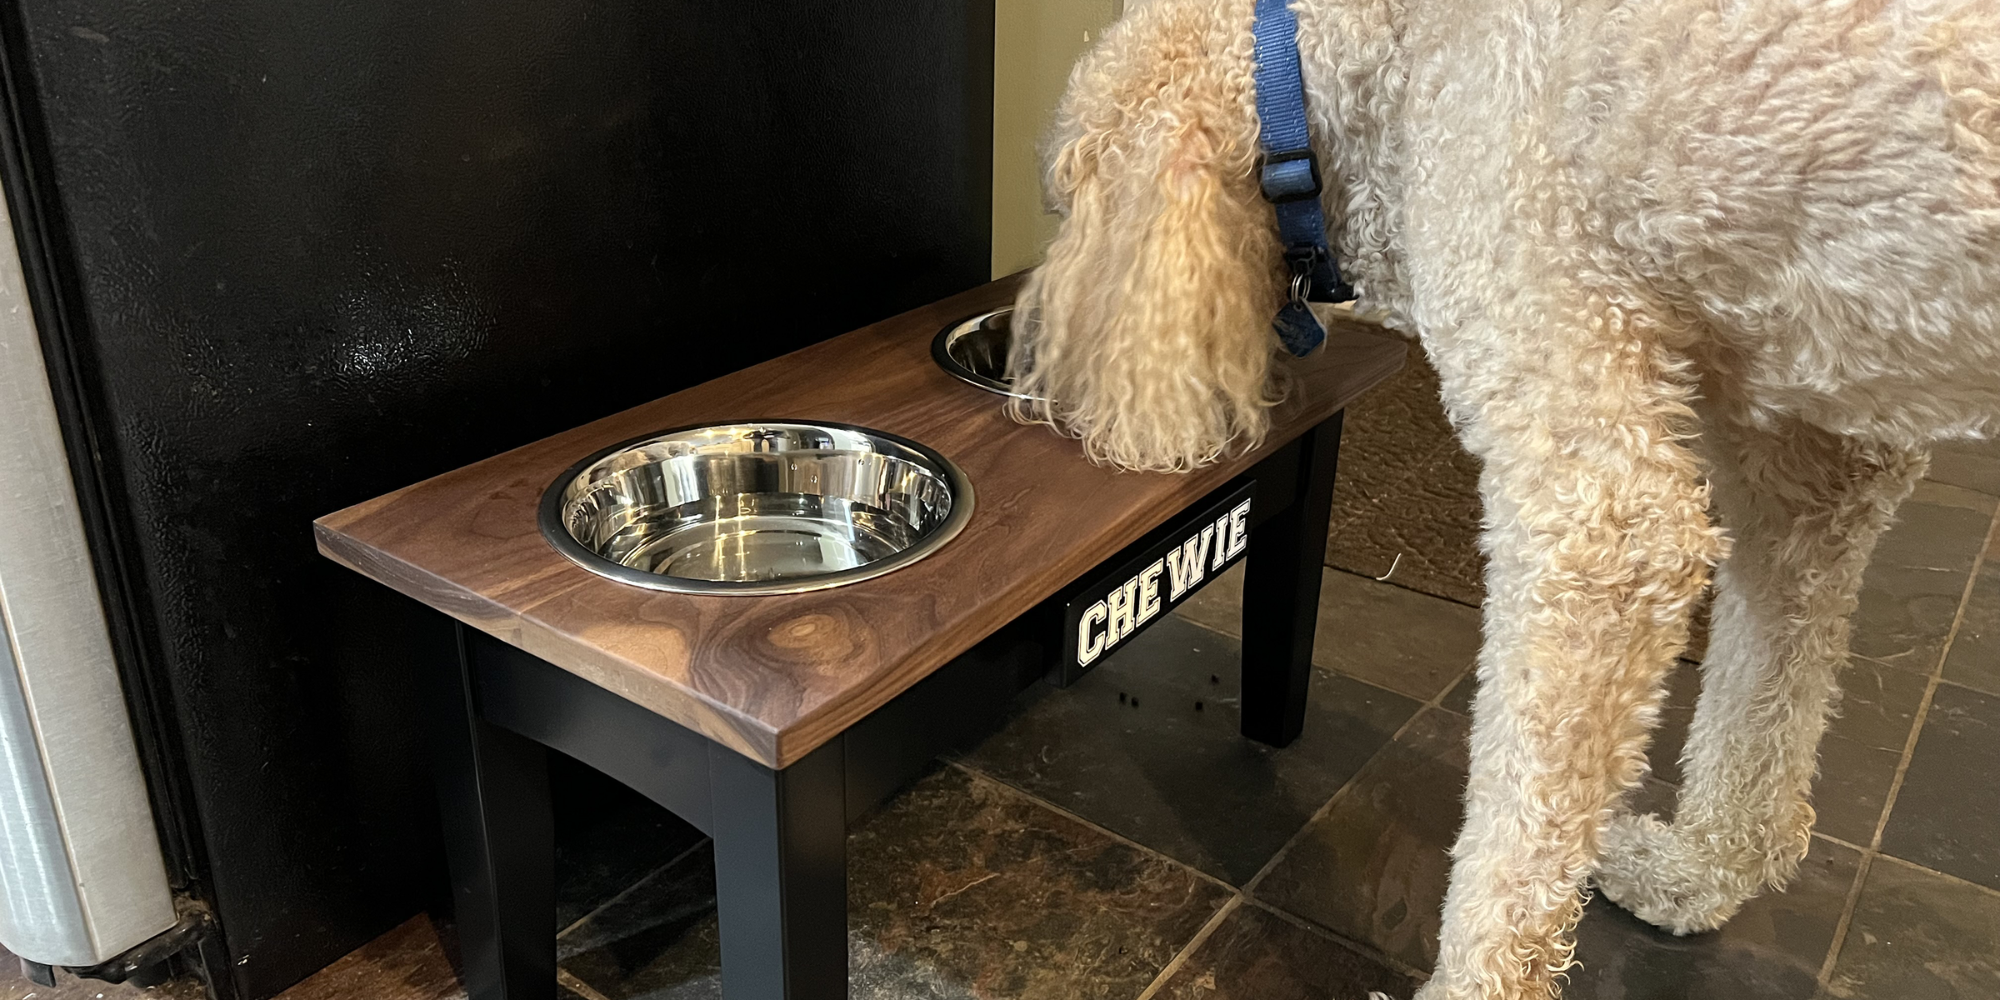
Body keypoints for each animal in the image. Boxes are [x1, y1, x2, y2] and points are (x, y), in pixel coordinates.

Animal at [1016, 0, 2000, 996]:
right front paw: (1700, 873)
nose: (1051, 395)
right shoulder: (1813, 466)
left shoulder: (1598, 531)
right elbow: (1761, 705)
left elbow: (1515, 850)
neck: (1372, 60)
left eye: (1063, 199)